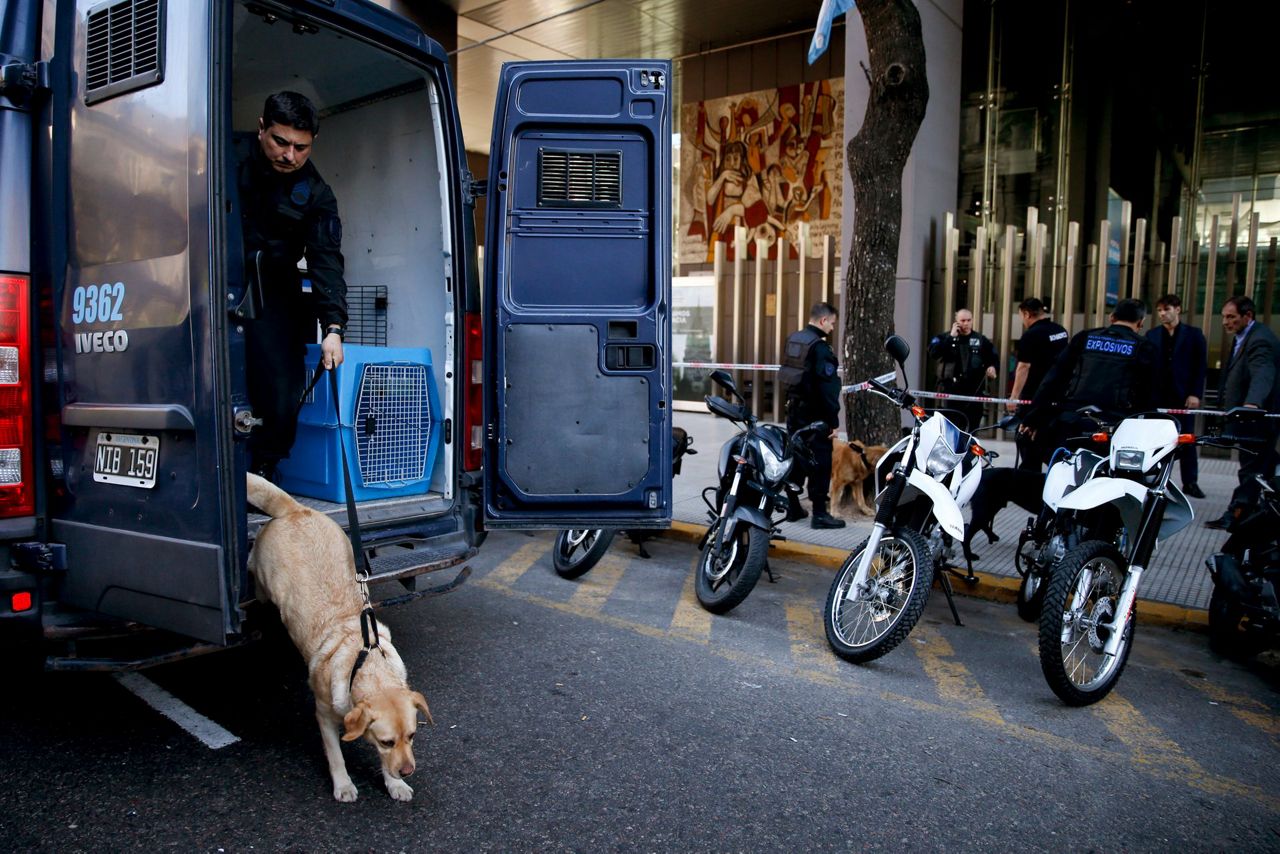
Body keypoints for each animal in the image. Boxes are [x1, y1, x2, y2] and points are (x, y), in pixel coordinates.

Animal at [244, 473, 435, 804]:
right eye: (386, 741)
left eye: (411, 736)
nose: (408, 771)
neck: (366, 661)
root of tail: (295, 509)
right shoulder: (323, 716)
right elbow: (336, 757)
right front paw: (344, 785)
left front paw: (394, 783)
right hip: (263, 575)